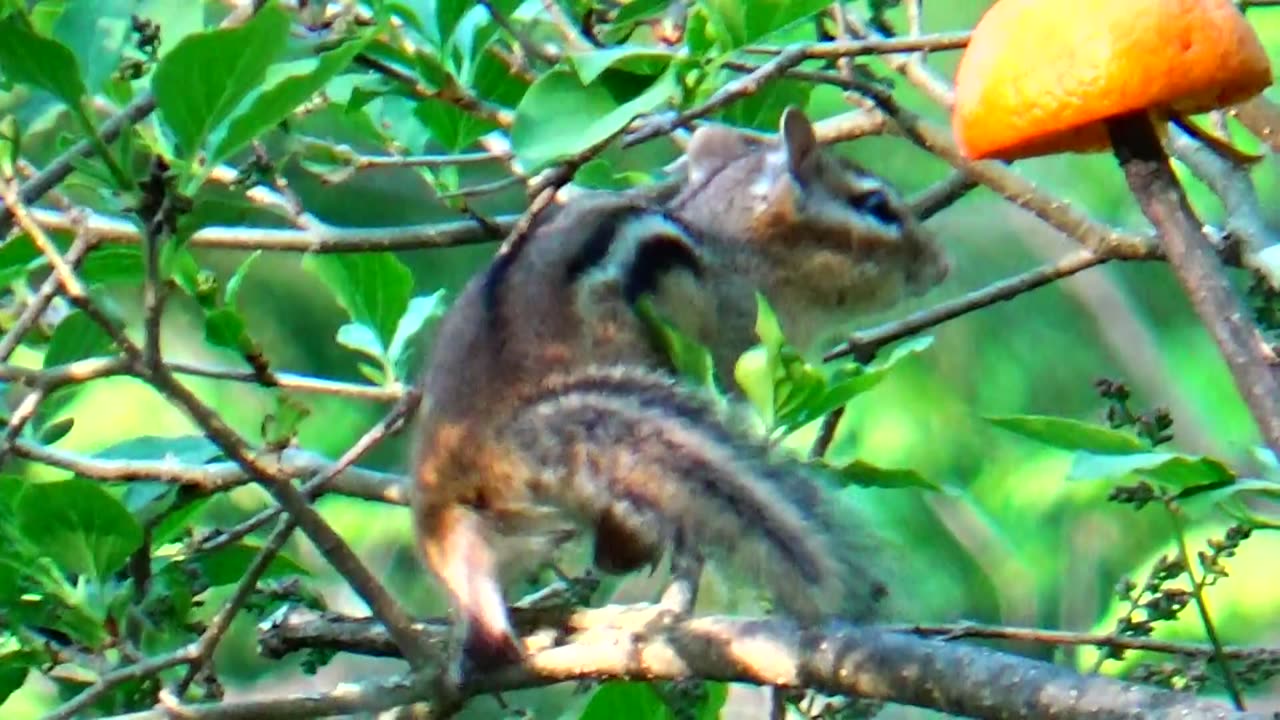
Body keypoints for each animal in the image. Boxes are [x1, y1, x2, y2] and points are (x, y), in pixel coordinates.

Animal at [409, 107, 948, 672]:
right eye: (876, 206)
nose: (942, 266)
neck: (731, 242)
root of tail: (489, 437)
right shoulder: (738, 339)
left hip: (465, 535)